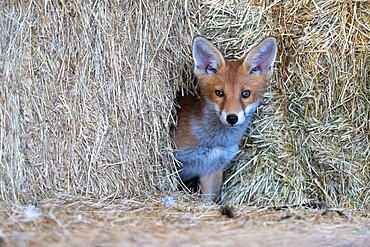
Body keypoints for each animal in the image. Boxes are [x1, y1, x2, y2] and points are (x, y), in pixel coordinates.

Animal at [175, 36, 276, 203]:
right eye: (219, 93)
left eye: (246, 94)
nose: (232, 118)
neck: (213, 142)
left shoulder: (213, 167)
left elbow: (209, 201)